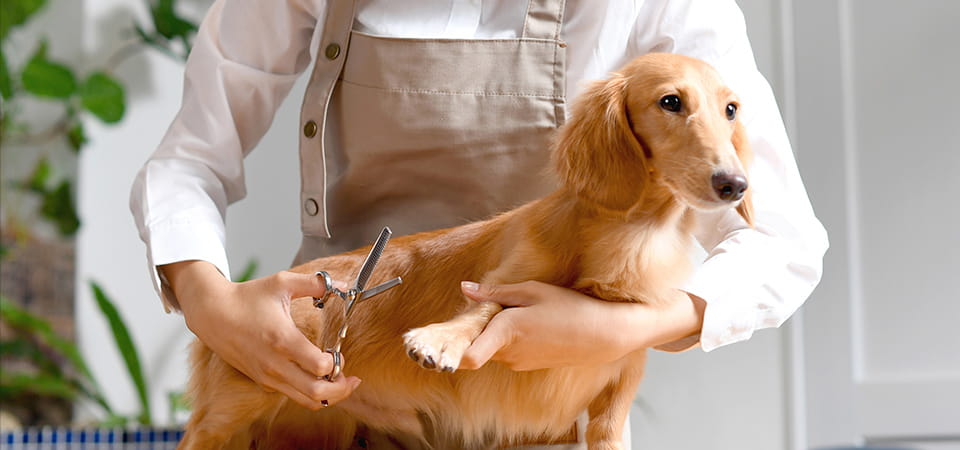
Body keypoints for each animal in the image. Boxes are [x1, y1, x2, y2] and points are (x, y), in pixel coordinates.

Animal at [176, 53, 752, 450]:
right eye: (671, 102)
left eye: (730, 109)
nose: (735, 185)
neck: (630, 239)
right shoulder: (507, 276)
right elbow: (485, 308)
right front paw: (441, 340)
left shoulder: (618, 388)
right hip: (222, 420)